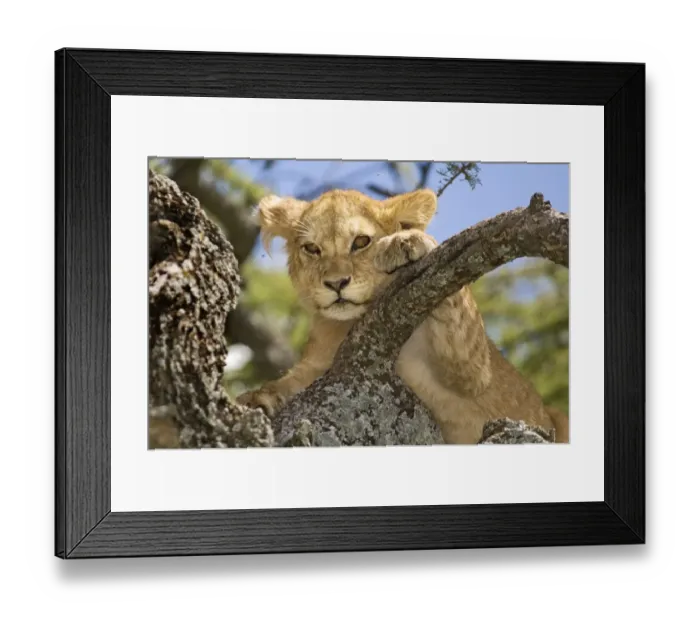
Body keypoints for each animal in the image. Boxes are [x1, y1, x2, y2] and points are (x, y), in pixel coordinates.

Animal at [235, 187, 569, 445]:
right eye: (311, 248)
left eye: (360, 242)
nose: (336, 283)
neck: (349, 323)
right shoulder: (317, 366)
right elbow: (285, 383)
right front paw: (254, 400)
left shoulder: (473, 372)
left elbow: (455, 296)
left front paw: (406, 241)